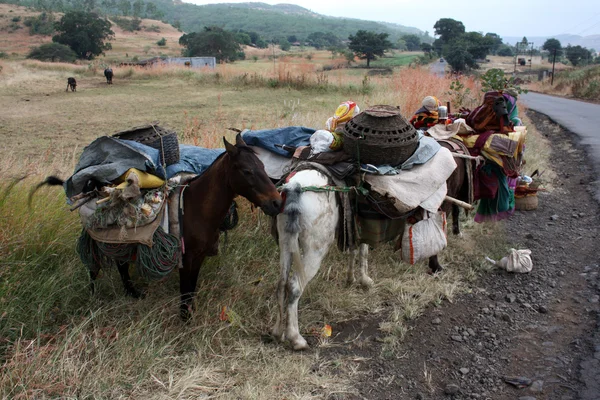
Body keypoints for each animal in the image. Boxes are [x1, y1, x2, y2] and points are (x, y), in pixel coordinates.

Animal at [34, 134, 282, 318]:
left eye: (263, 165)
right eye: (247, 171)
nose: (277, 203)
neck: (195, 208)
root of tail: (93, 185)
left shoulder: (198, 257)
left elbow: (191, 287)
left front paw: (189, 313)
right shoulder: (186, 258)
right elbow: (185, 289)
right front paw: (185, 319)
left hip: (120, 242)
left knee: (121, 265)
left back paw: (132, 293)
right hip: (95, 241)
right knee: (93, 269)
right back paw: (94, 298)